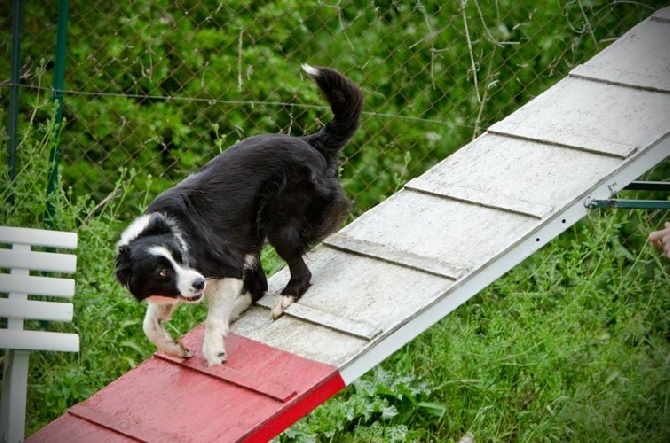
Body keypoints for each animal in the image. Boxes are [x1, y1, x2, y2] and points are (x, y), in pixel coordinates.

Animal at [117, 64, 368, 366]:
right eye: (163, 271)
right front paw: (174, 348)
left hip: (278, 220)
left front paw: (213, 352)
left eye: (182, 258)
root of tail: (310, 141)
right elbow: (150, 324)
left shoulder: (228, 268)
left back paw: (285, 298)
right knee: (259, 285)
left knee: (299, 272)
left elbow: (213, 318)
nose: (199, 282)